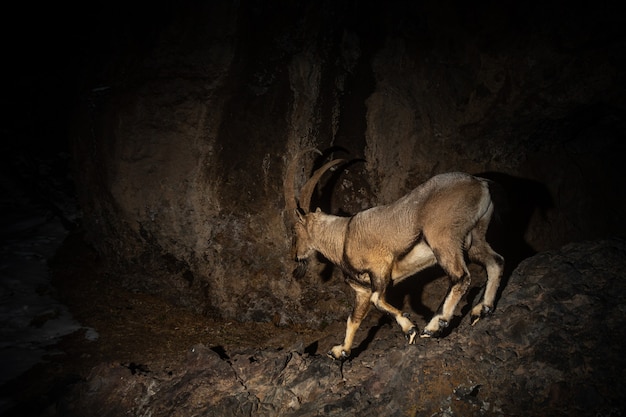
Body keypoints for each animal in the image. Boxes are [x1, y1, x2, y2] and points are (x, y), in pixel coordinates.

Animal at [282, 150, 502, 360]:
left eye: (295, 231)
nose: (294, 256)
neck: (343, 237)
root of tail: (480, 183)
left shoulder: (380, 267)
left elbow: (377, 300)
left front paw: (410, 329)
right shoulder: (362, 290)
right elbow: (353, 319)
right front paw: (340, 351)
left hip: (443, 239)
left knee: (461, 276)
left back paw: (434, 326)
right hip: (475, 238)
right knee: (495, 262)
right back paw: (482, 309)